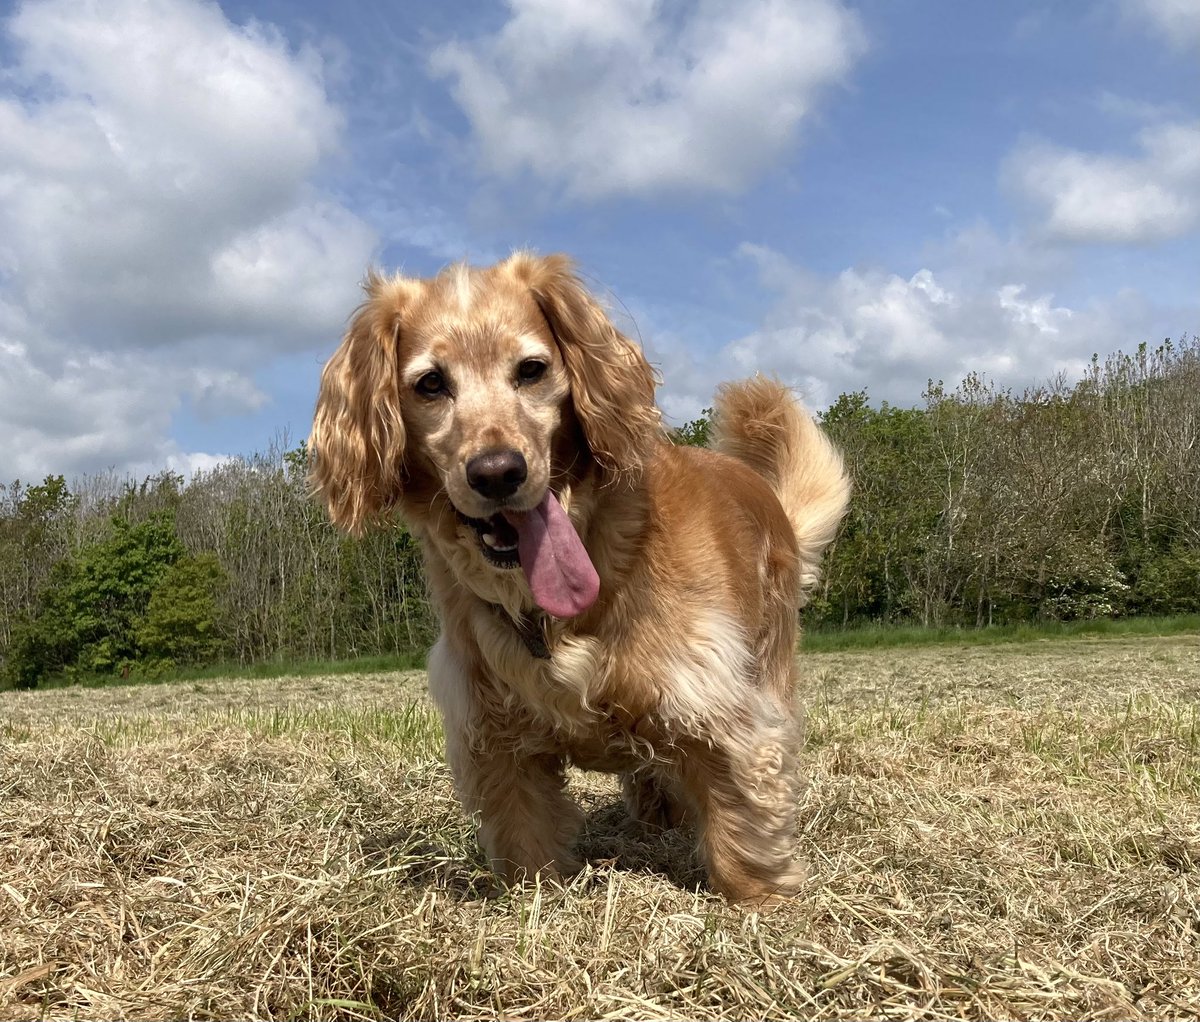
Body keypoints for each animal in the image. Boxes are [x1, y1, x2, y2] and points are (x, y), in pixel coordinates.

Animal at [314, 253, 849, 902]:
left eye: (532, 369)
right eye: (431, 384)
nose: (497, 472)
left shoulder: (722, 709)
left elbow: (742, 828)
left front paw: (765, 905)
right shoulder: (493, 738)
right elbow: (526, 847)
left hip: (769, 662)